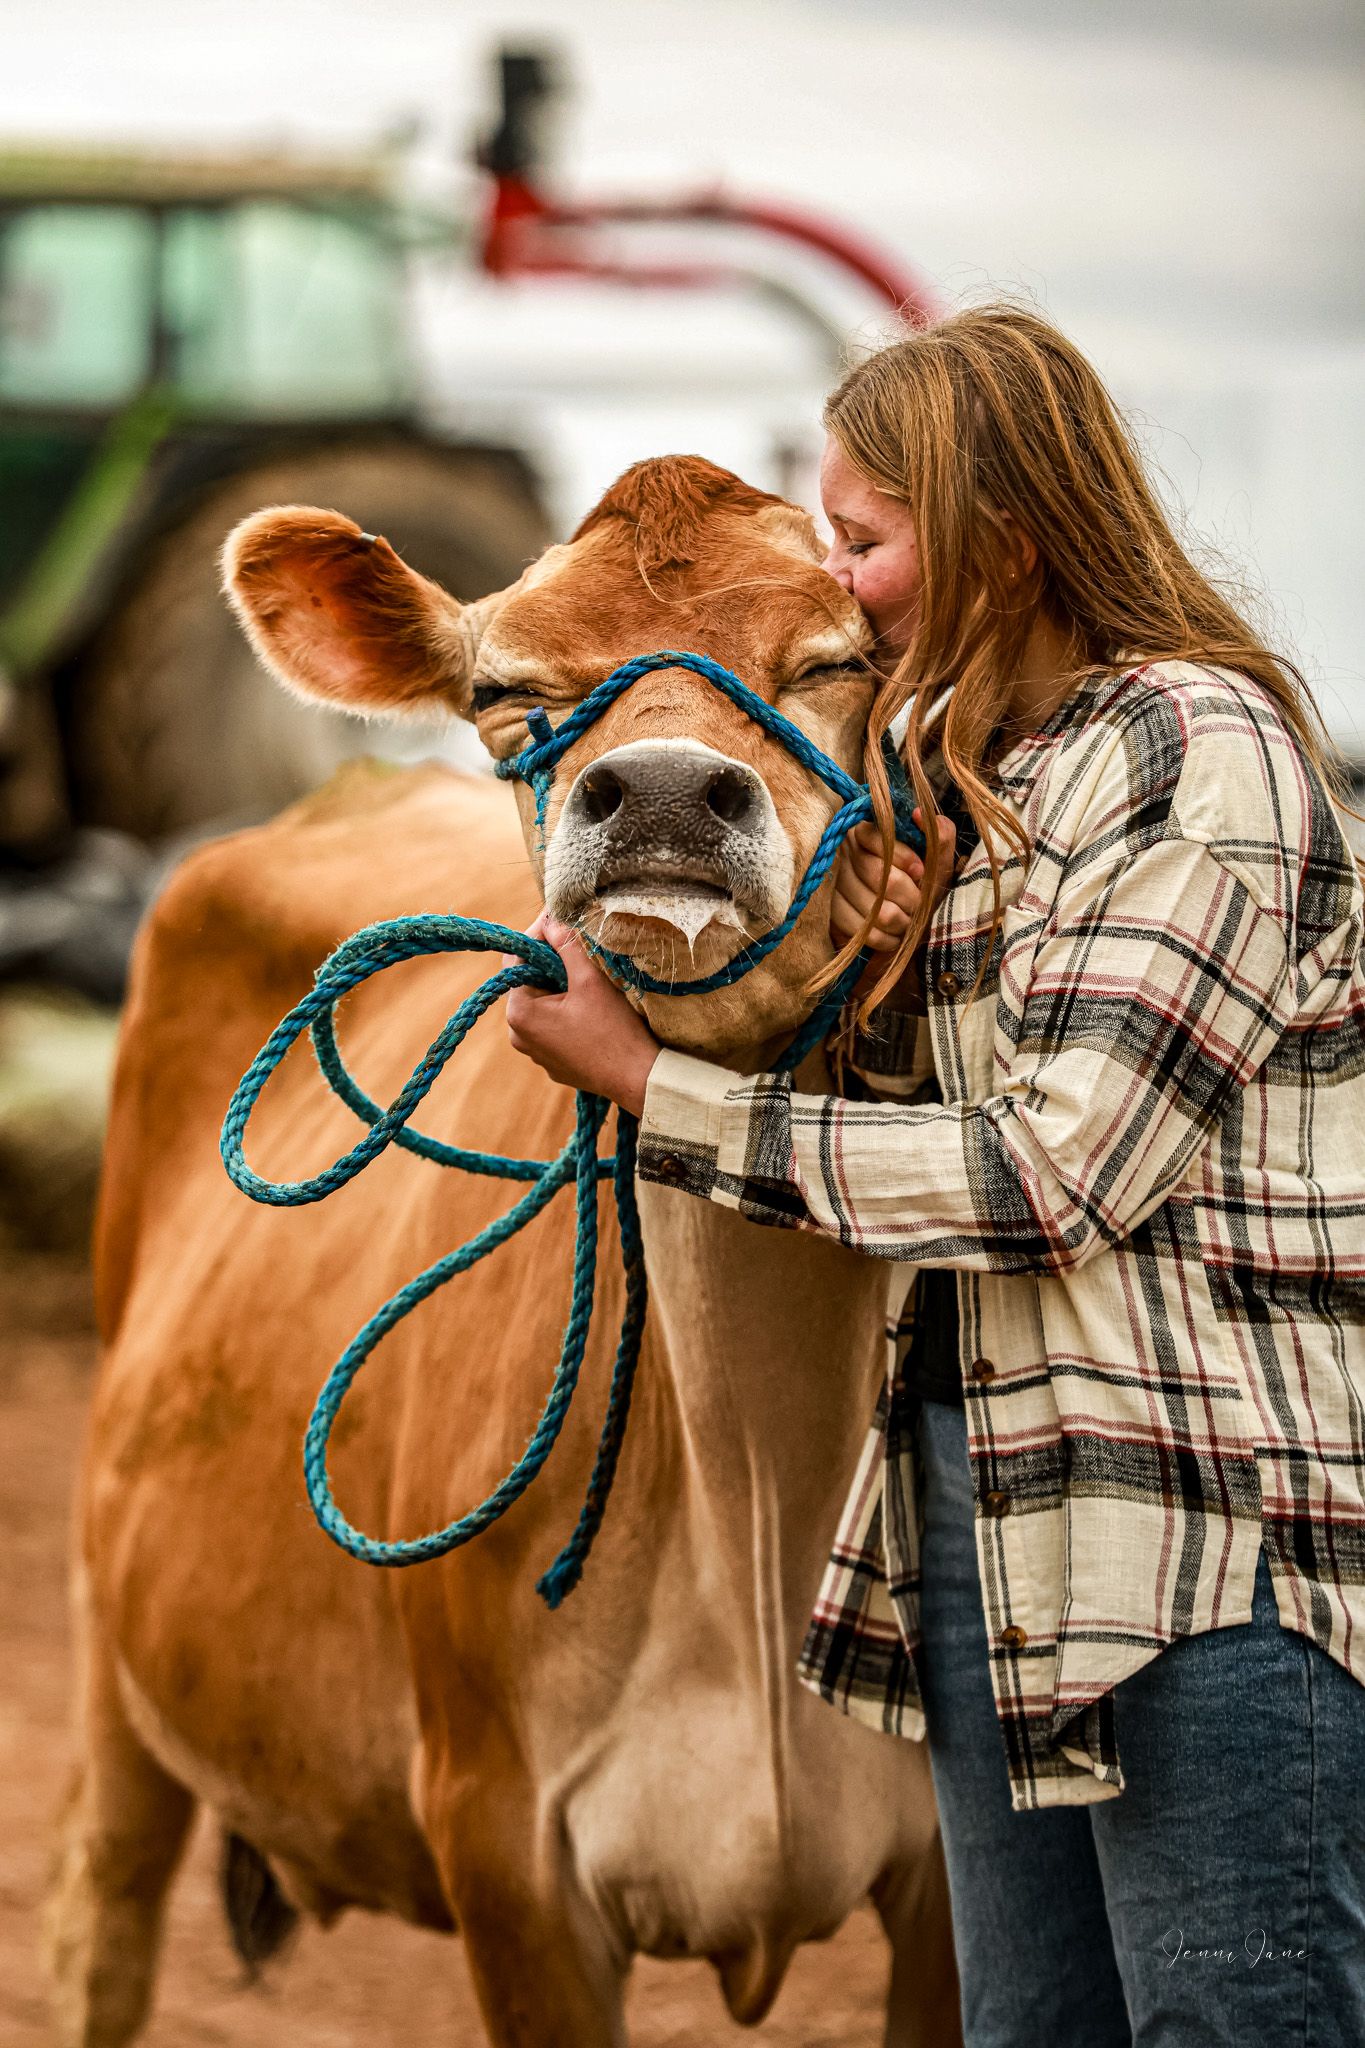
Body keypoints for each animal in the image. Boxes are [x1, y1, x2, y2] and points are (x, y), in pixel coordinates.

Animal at [49, 458, 961, 2048]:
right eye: (508, 692)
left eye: (843, 661)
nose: (660, 791)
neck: (749, 1505)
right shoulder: (504, 1846)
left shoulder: (954, 1896)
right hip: (117, 1670)